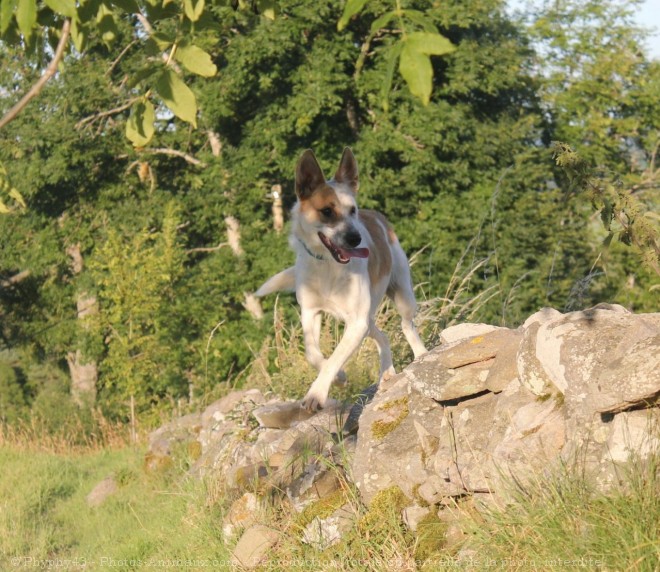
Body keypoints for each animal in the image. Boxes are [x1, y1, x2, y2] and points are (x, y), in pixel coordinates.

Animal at [255, 145, 426, 408]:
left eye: (352, 210)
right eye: (327, 211)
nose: (356, 238)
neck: (327, 265)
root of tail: (378, 216)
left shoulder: (356, 323)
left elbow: (335, 357)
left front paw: (316, 393)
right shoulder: (311, 312)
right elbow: (313, 353)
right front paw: (339, 377)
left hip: (401, 296)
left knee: (407, 325)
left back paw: (422, 356)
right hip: (368, 319)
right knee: (383, 336)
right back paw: (386, 371)